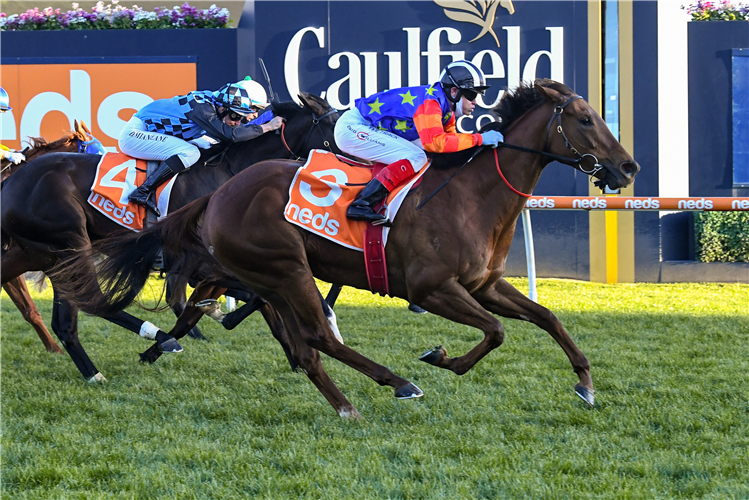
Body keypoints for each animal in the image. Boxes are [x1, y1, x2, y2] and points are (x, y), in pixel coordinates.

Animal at [61, 80, 640, 416]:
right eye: (584, 119)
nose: (628, 167)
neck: (471, 196)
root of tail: (219, 194)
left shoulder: (485, 285)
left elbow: (547, 318)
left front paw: (586, 385)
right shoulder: (432, 290)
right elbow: (495, 332)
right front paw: (440, 357)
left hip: (273, 277)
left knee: (302, 344)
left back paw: (344, 400)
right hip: (286, 268)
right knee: (315, 335)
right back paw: (397, 382)